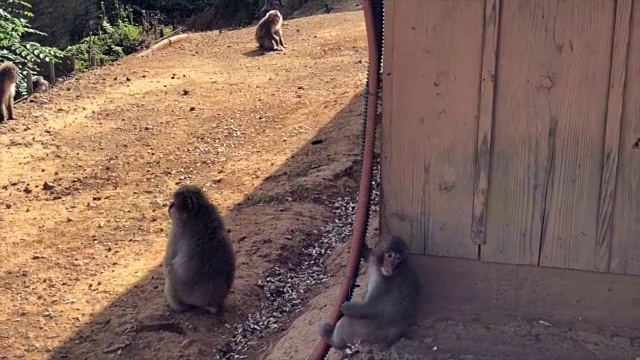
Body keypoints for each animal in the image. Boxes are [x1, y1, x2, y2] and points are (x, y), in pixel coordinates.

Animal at [164, 184, 236, 314]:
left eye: (174, 203)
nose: (169, 207)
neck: (199, 211)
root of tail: (212, 303)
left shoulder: (176, 232)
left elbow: (167, 263)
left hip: (180, 291)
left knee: (170, 272)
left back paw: (178, 307)